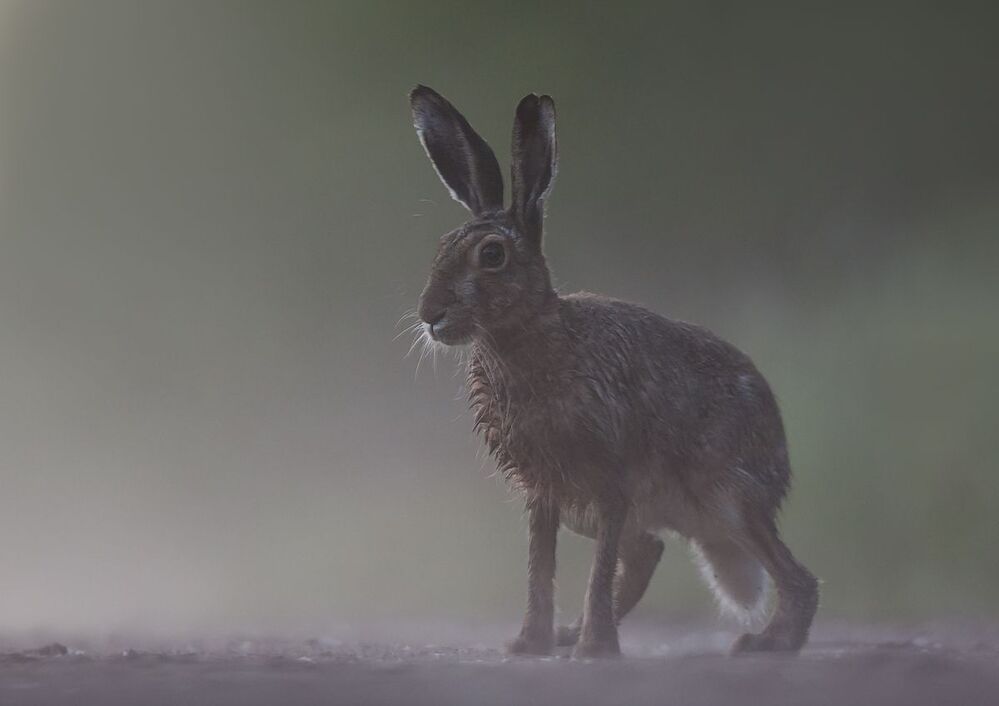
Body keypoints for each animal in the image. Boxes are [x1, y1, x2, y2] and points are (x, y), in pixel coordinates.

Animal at [407, 85, 818, 658]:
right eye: (442, 247)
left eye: (492, 255)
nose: (430, 315)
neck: (532, 337)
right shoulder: (545, 492)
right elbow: (540, 568)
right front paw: (530, 644)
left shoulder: (609, 477)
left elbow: (592, 570)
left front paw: (593, 650)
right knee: (648, 551)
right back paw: (569, 635)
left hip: (728, 499)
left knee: (796, 578)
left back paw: (765, 643)